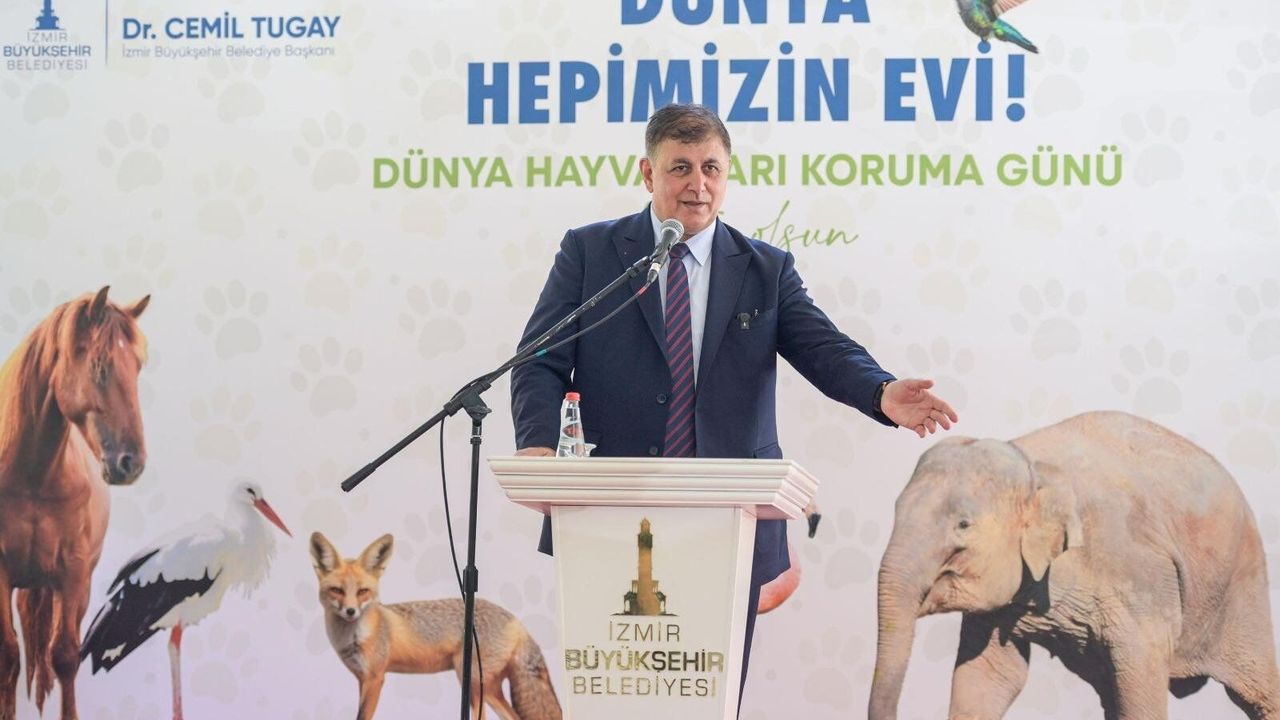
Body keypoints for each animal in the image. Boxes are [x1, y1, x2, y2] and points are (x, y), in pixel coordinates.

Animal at [0, 286, 150, 720]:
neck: (32, 477)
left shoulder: (73, 573)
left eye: (137, 366)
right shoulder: (0, 571)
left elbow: (64, 657)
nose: (131, 463)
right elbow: (8, 656)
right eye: (99, 366)